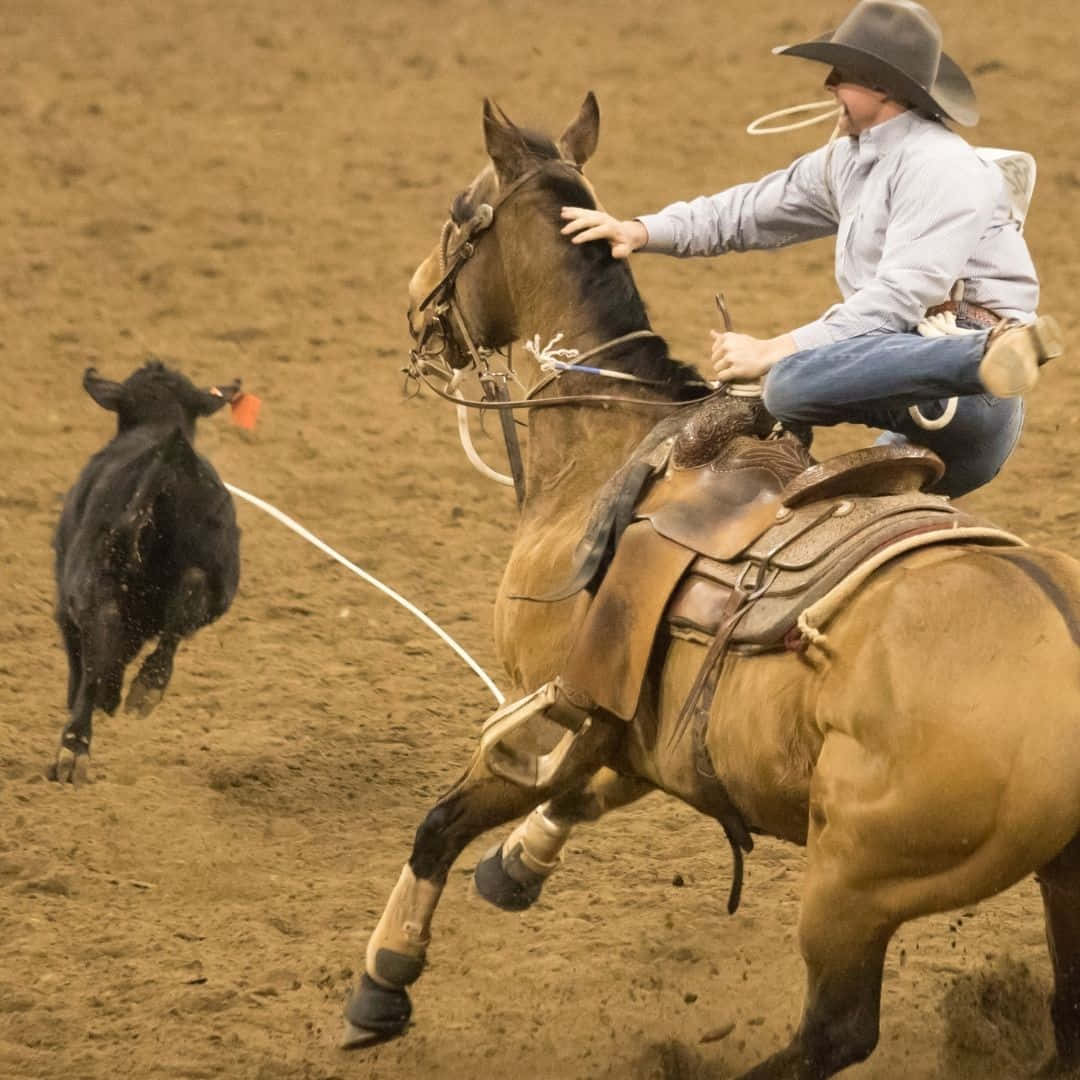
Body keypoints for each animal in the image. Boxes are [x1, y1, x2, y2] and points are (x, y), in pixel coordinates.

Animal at [343, 95, 1080, 1080]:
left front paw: (383, 979)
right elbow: (590, 790)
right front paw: (520, 863)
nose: (414, 300)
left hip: (855, 886)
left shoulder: (557, 699)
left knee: (835, 1031)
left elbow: (445, 821)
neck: (613, 443)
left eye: (461, 215)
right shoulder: (631, 719)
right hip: (1062, 879)